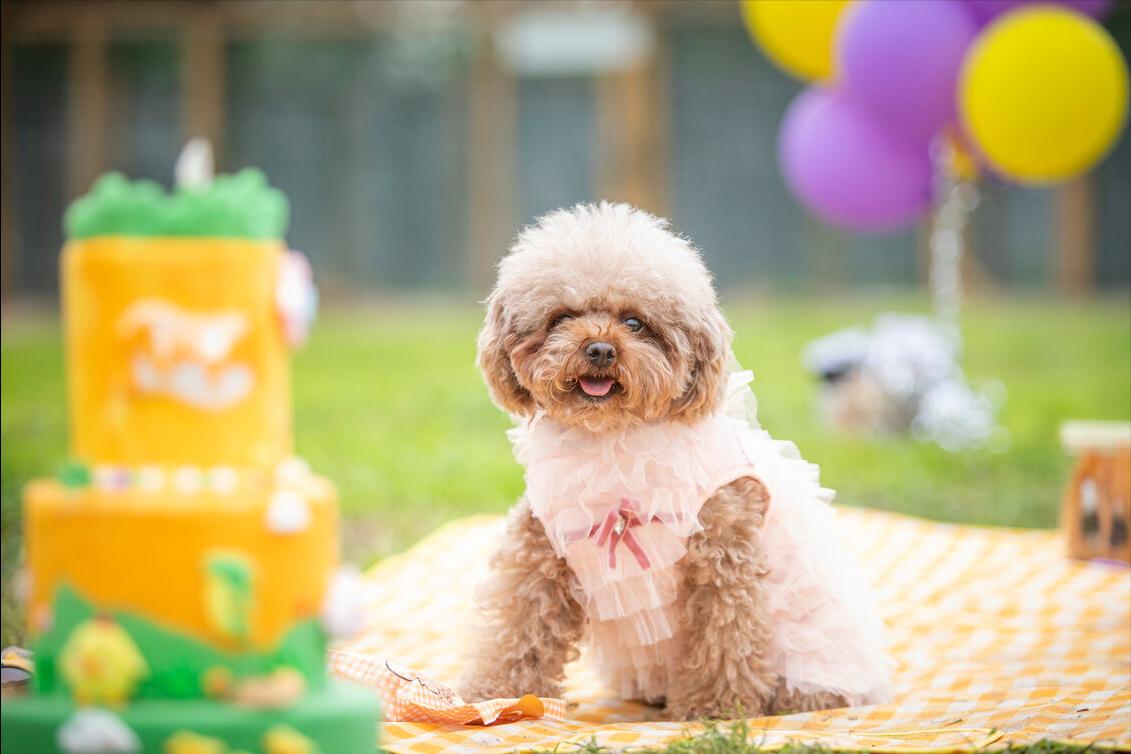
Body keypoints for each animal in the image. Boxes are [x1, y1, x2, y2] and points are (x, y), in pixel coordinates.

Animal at [459, 200, 891, 718]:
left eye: (634, 322)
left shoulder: (723, 556)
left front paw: (715, 710)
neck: (613, 444)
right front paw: (496, 695)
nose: (599, 348)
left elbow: (725, 637)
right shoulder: (540, 550)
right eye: (562, 317)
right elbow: (519, 626)